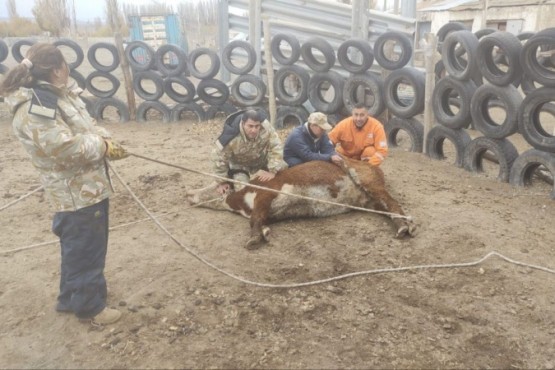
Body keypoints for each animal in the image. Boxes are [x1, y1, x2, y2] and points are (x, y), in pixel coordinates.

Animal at [188, 158, 416, 250]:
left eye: (216, 186)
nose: (189, 193)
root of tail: (373, 166)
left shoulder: (267, 194)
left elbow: (254, 219)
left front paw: (254, 239)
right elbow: (260, 219)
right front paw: (264, 232)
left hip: (371, 184)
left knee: (392, 203)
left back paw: (406, 226)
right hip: (369, 201)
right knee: (385, 208)